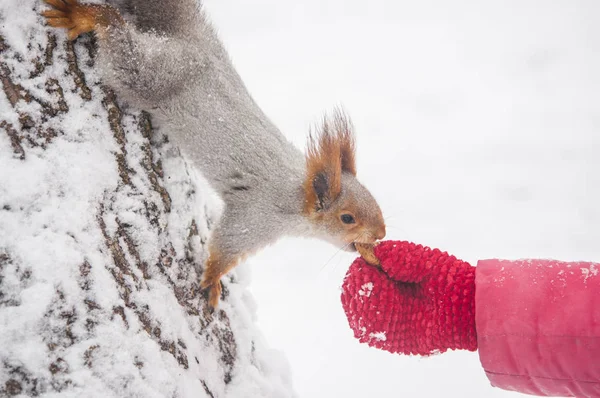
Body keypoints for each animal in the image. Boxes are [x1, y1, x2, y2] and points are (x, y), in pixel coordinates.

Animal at [43, 0, 390, 308]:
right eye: (347, 218)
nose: (381, 234)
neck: (296, 198)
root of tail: (193, 37)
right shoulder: (255, 216)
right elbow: (226, 246)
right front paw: (213, 280)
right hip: (155, 75)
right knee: (122, 46)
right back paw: (87, 15)